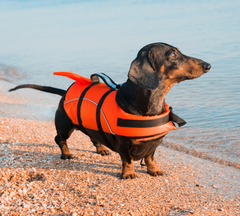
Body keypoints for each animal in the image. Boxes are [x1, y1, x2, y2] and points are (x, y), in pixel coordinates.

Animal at [10, 42, 211, 179]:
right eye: (173, 54)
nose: (208, 65)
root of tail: (65, 92)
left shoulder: (154, 142)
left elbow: (150, 157)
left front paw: (154, 170)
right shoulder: (122, 143)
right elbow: (127, 159)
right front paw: (128, 174)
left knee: (94, 137)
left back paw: (101, 149)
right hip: (64, 125)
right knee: (59, 139)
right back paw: (66, 154)